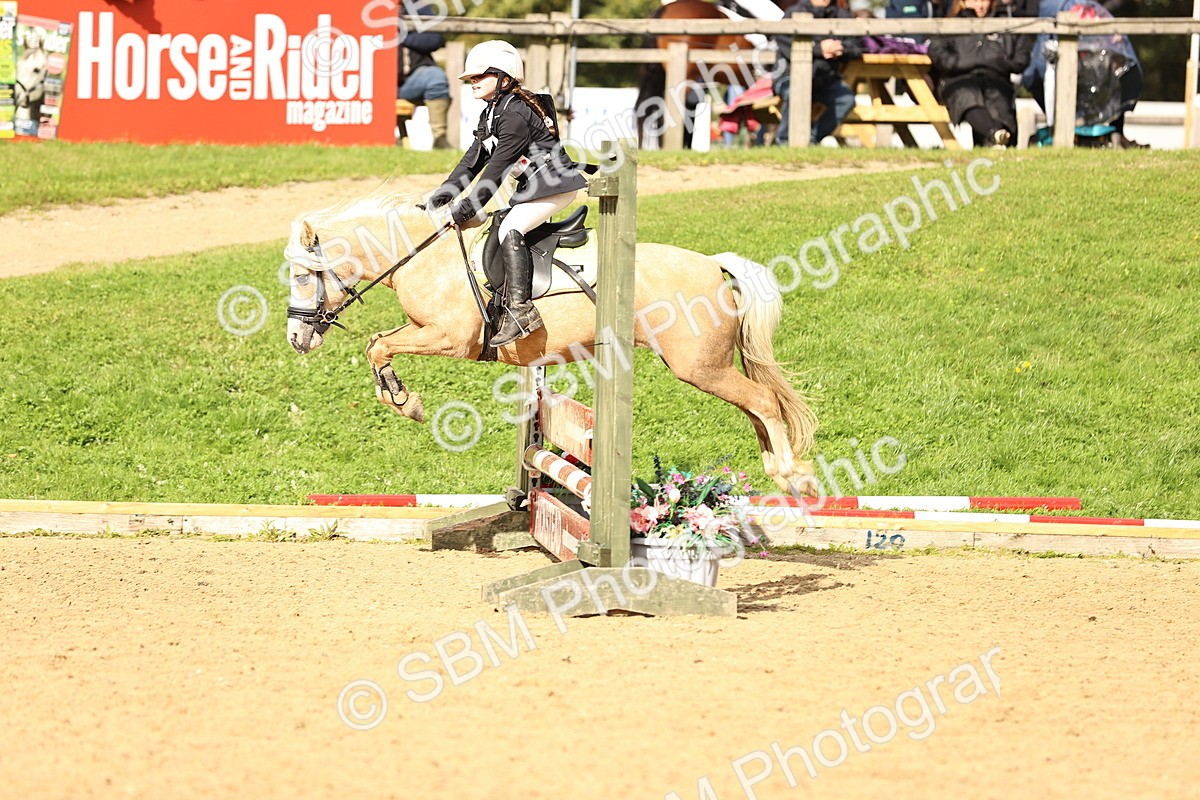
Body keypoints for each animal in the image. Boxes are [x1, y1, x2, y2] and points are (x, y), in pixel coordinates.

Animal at [282, 188, 818, 496]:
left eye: (302, 275)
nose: (296, 338)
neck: (423, 257)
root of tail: (712, 262)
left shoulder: (450, 338)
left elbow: (377, 344)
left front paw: (406, 402)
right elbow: (377, 343)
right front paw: (400, 397)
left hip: (699, 367)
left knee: (763, 401)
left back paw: (792, 474)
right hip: (707, 367)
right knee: (755, 406)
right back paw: (778, 468)